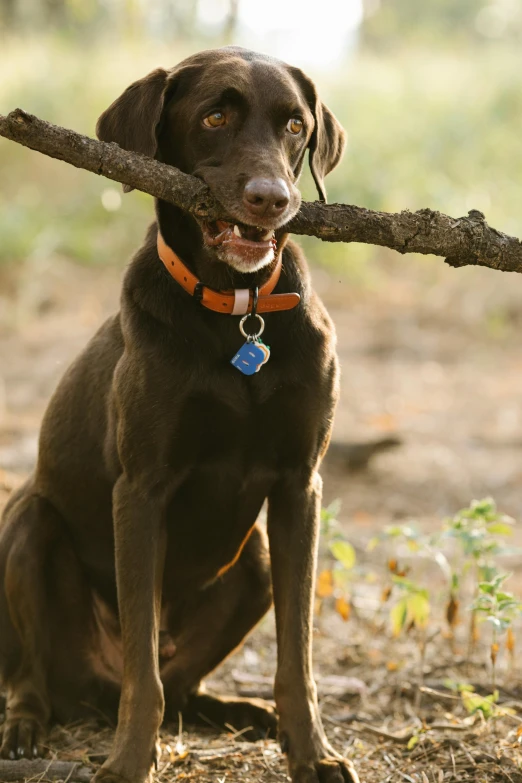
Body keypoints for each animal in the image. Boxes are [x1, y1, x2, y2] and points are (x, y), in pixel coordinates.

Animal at [0, 49, 358, 783]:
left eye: (295, 126)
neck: (238, 312)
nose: (272, 199)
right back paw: (26, 725)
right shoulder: (141, 490)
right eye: (214, 117)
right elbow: (144, 670)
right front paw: (130, 762)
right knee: (36, 674)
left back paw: (245, 714)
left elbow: (297, 657)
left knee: (187, 686)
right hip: (28, 524)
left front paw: (312, 752)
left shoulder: (298, 487)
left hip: (253, 561)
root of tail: (91, 687)